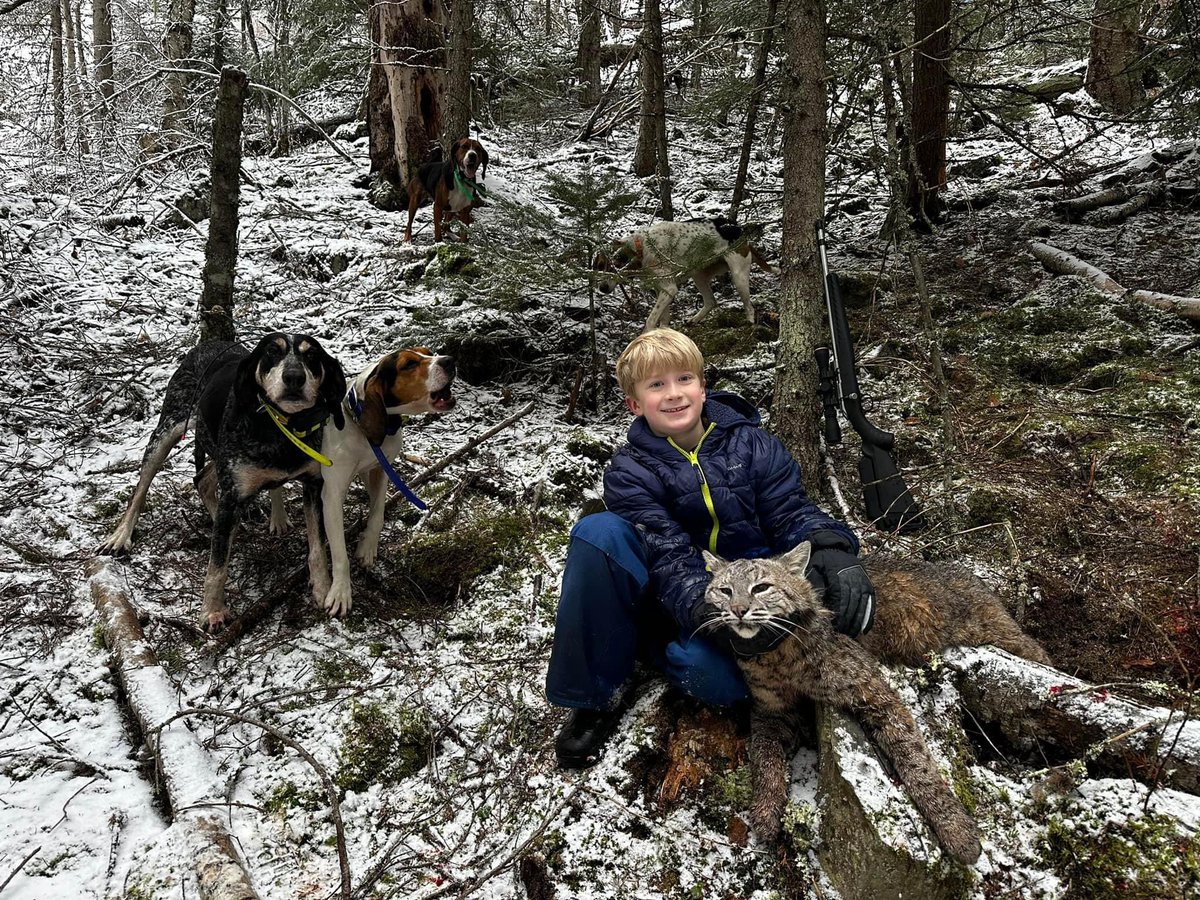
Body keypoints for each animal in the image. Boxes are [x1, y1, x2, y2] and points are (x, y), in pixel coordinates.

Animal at [312, 348, 456, 619]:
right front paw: (341, 592)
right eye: (409, 364)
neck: (358, 423)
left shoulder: (379, 469)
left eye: (428, 353)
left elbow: (377, 513)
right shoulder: (332, 495)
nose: (450, 360)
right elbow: (339, 552)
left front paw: (367, 547)